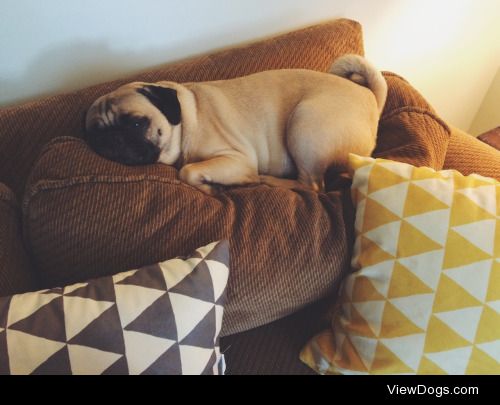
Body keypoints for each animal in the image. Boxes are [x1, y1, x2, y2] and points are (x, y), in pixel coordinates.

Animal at [85, 54, 386, 193]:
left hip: (305, 124)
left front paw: (211, 187)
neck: (185, 120)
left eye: (136, 124)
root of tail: (371, 97)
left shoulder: (236, 159)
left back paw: (266, 180)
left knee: (311, 186)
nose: (112, 139)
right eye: (95, 134)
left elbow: (188, 171)